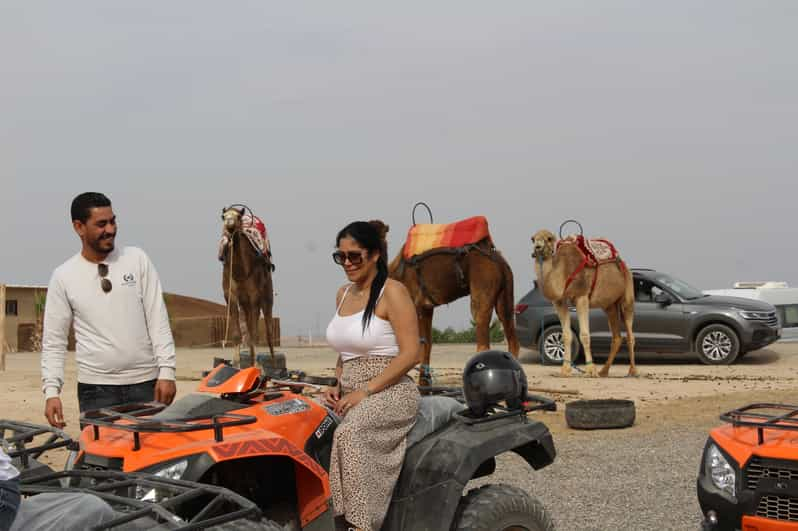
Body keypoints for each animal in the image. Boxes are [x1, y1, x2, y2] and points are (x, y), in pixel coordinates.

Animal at [392, 208, 520, 386]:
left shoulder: (414, 304)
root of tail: (497, 260)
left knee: (483, 339)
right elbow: (427, 343)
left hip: (482, 286)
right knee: (511, 337)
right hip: (505, 294)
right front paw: (425, 383)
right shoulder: (426, 308)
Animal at [536, 222, 640, 380]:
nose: (537, 247)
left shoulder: (582, 297)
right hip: (609, 305)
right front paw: (565, 370)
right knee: (616, 336)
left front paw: (590, 370)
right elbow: (566, 335)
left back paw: (632, 371)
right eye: (532, 239)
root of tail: (623, 264)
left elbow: (584, 335)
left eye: (549, 238)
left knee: (630, 334)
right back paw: (604, 371)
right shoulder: (559, 301)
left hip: (627, 295)